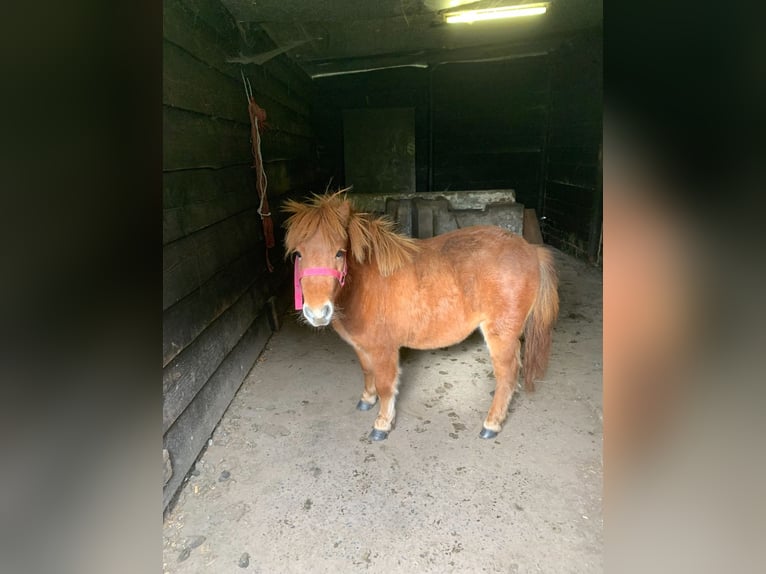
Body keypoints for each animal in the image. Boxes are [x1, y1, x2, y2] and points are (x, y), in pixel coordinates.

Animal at [283, 191, 559, 441]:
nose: (317, 312)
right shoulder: (362, 346)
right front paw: (367, 399)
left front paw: (382, 424)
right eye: (298, 254)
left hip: (501, 335)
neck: (366, 286)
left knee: (507, 376)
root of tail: (530, 249)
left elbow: (385, 386)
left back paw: (491, 424)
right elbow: (367, 372)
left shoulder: (384, 350)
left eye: (340, 252)